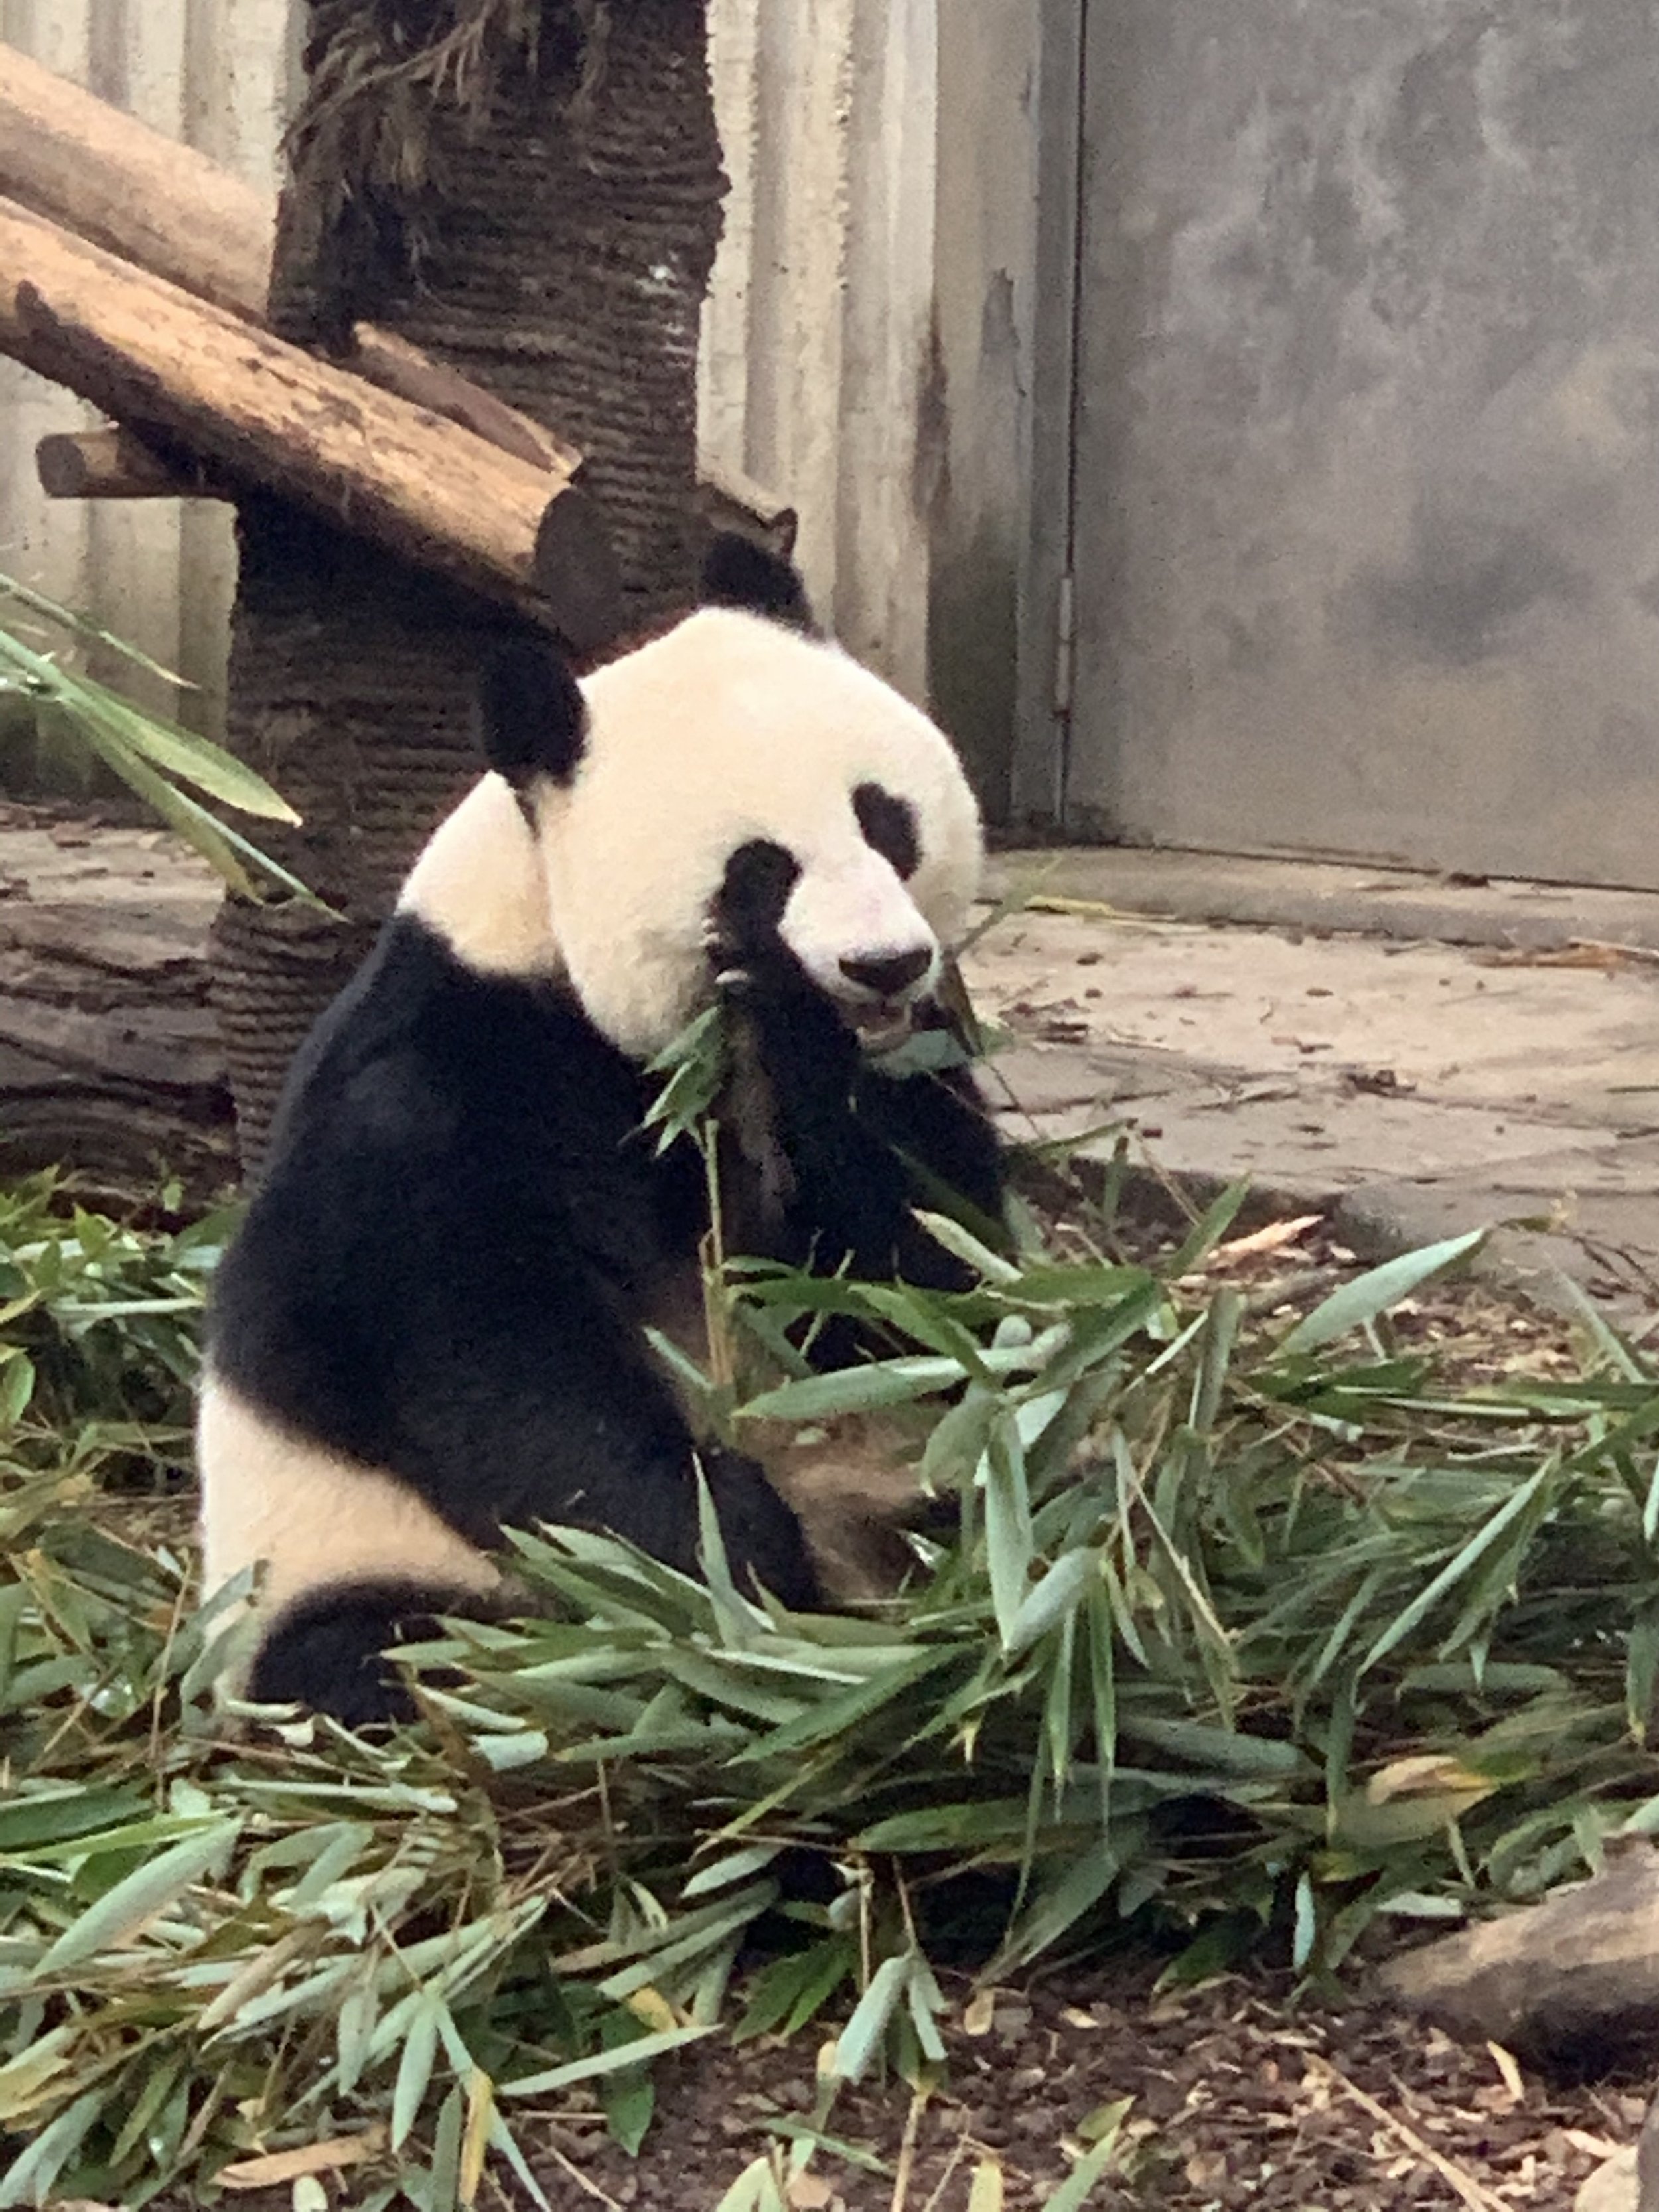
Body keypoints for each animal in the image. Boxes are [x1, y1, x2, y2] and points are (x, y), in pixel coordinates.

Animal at [201, 540, 1009, 1725]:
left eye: (883, 818)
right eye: (760, 868)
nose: (883, 964)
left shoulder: (898, 1082)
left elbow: (923, 1286)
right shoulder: (447, 1083)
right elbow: (484, 1346)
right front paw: (737, 1552)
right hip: (354, 1558)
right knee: (394, 1655)